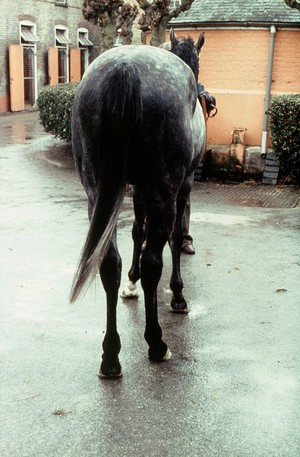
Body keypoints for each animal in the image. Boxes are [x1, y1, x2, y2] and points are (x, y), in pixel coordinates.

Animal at [70, 30, 206, 376]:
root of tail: (125, 68)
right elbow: (173, 237)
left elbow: (136, 231)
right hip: (164, 190)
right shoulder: (182, 186)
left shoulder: (136, 190)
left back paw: (110, 356)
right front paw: (178, 295)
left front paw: (130, 284)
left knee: (108, 263)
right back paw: (156, 343)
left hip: (97, 191)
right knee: (153, 262)